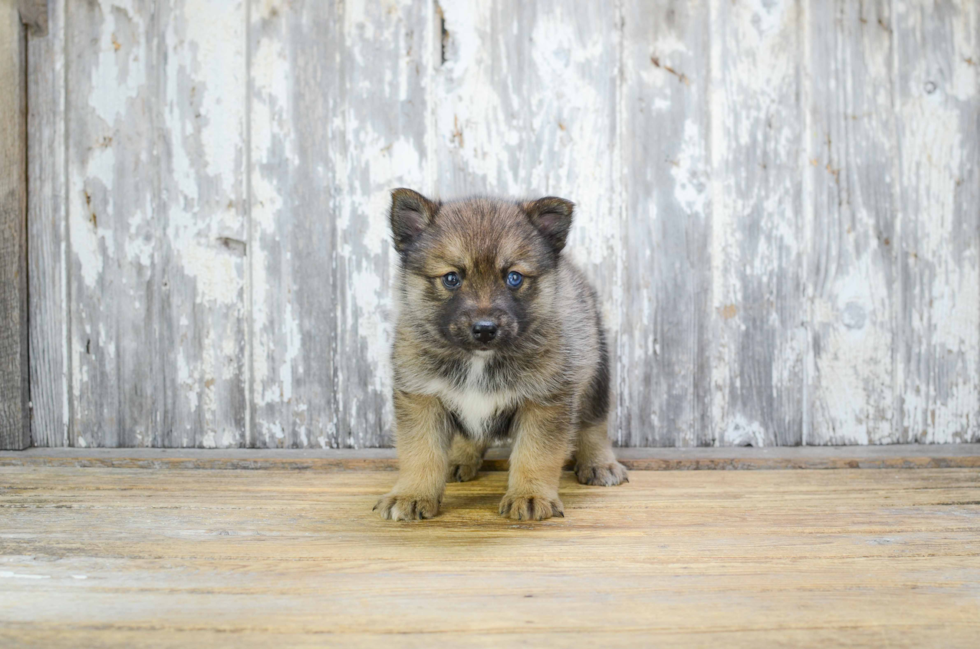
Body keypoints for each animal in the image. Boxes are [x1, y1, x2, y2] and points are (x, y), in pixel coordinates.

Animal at [376, 189, 628, 520]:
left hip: (595, 375)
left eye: (514, 278)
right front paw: (411, 494)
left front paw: (530, 495)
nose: (485, 330)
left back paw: (600, 463)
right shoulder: (422, 397)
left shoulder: (545, 401)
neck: (478, 360)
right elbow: (420, 453)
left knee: (593, 426)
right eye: (451, 278)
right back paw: (460, 458)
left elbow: (535, 455)